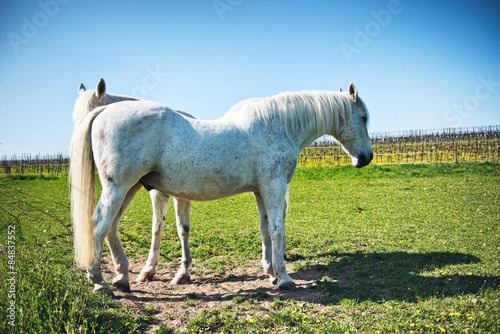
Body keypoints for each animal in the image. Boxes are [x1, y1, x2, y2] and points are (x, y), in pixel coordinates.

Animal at [71, 82, 372, 294]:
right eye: (364, 118)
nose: (366, 158)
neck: (279, 125)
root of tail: (105, 110)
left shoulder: (262, 190)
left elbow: (265, 229)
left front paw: (271, 272)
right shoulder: (273, 186)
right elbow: (277, 229)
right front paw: (284, 278)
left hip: (130, 188)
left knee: (111, 227)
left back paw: (122, 277)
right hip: (119, 188)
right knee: (99, 224)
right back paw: (99, 282)